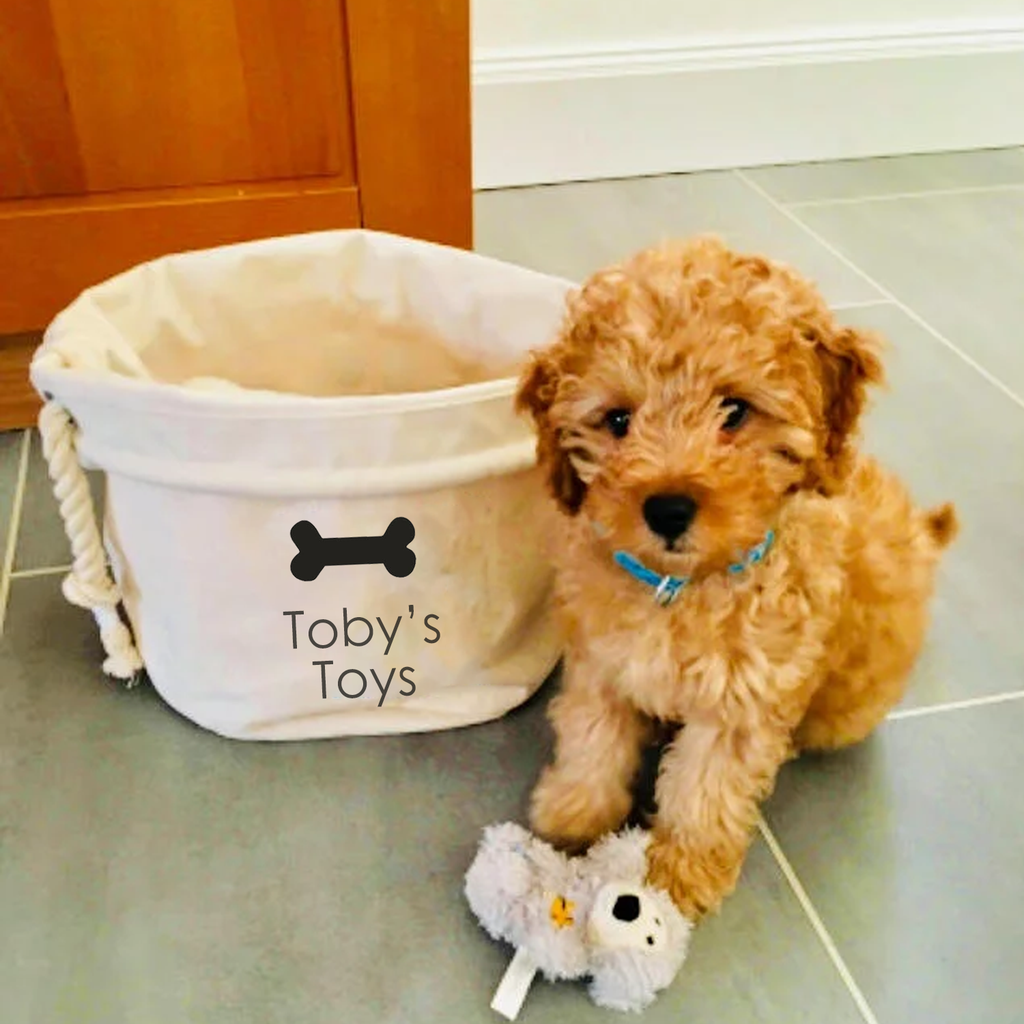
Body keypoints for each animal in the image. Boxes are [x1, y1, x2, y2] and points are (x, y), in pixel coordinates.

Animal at [516, 234, 954, 921]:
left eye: (735, 410)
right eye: (617, 421)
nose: (667, 508)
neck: (684, 586)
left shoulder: (742, 701)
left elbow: (705, 790)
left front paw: (675, 875)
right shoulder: (600, 659)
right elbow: (593, 736)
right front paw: (575, 812)